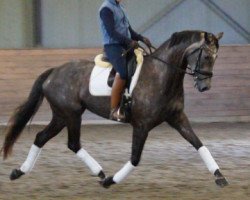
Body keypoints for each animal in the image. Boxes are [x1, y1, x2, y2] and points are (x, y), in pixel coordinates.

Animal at [1, 29, 229, 188]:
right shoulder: (142, 125)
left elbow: (199, 144)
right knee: (72, 143)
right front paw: (111, 181)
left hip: (61, 116)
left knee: (42, 137)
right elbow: (135, 158)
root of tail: (53, 72)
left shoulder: (177, 118)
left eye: (216, 58)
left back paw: (19, 172)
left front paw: (219, 176)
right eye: (206, 56)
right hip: (71, 114)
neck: (162, 74)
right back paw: (101, 174)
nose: (204, 87)